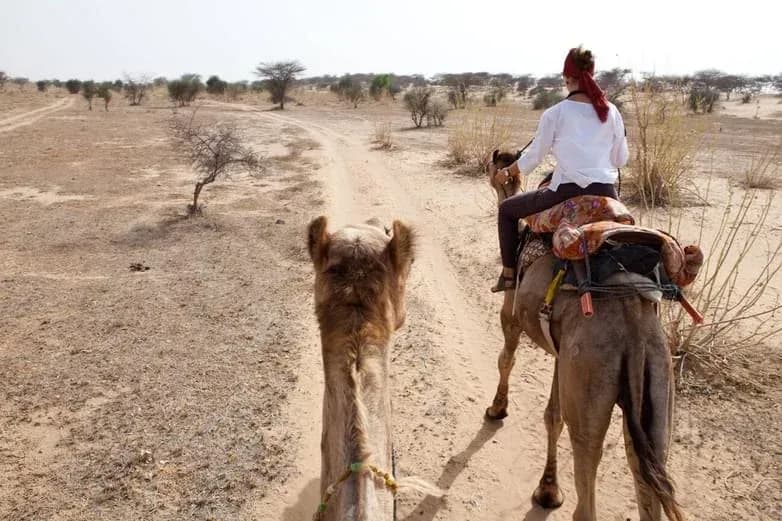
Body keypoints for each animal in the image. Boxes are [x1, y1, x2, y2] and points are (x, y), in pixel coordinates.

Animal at [484, 152, 685, 521]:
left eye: (497, 165)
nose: (492, 166)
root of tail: (634, 332)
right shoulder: (562, 355)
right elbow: (553, 415)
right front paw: (548, 490)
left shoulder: (511, 314)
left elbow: (506, 358)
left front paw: (497, 409)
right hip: (656, 383)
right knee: (645, 468)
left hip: (593, 375)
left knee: (587, 467)